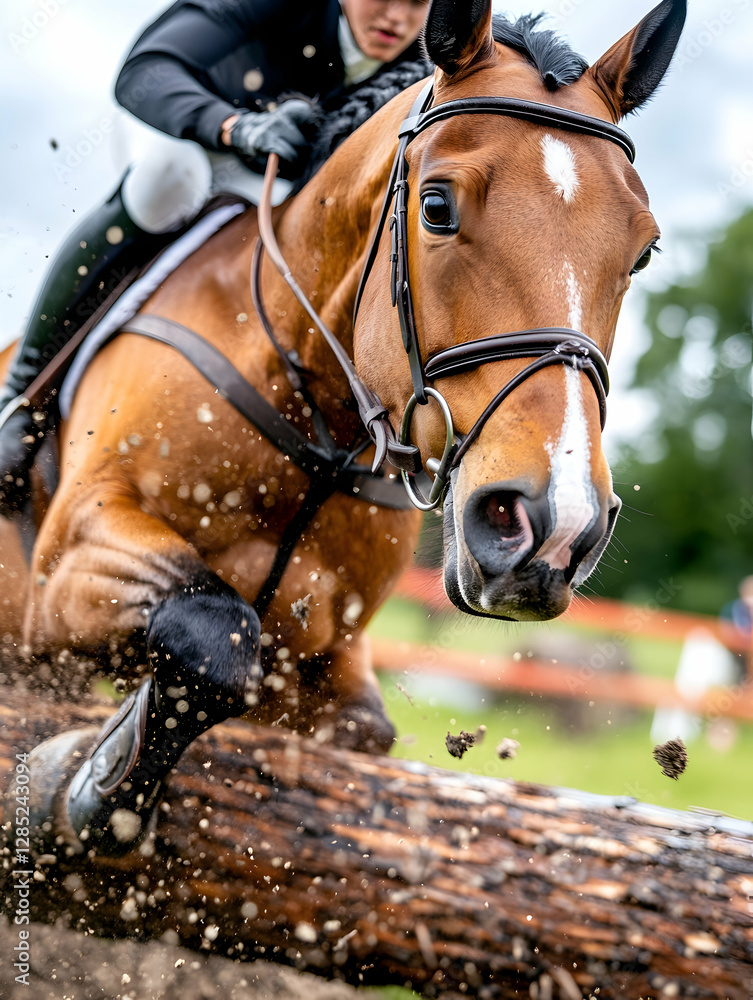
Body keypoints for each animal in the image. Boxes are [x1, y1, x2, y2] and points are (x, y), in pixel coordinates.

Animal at [1, 0, 686, 855]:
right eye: (435, 207)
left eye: (643, 251)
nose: (552, 527)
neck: (319, 417)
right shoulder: (70, 561)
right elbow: (212, 634)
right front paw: (90, 789)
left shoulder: (330, 655)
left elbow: (355, 729)